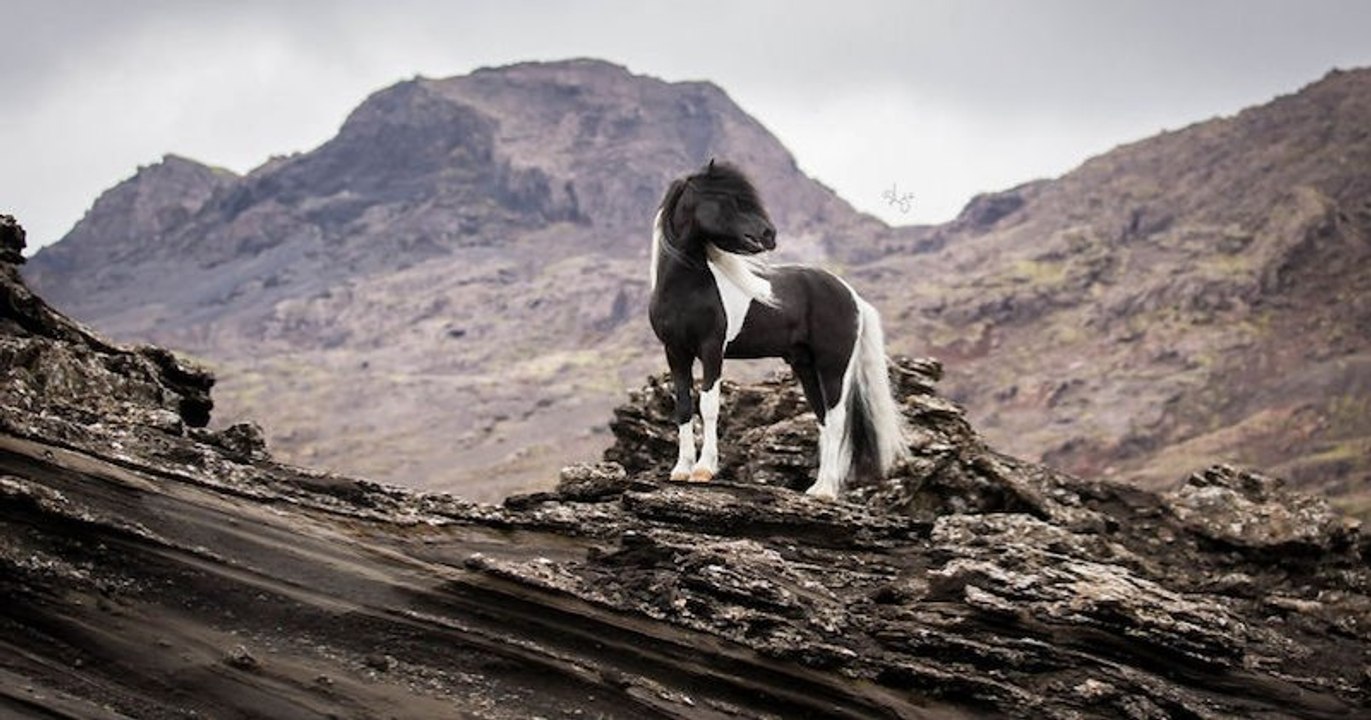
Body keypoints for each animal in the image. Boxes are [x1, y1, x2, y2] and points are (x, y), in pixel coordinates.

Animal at [648, 160, 909, 498]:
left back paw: (826, 490)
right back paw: (818, 487)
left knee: (837, 419)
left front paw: (704, 471)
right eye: (730, 199)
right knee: (823, 420)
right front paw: (681, 470)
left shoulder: (711, 349)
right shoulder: (676, 351)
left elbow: (708, 405)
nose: (769, 234)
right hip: (805, 365)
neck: (684, 289)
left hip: (833, 366)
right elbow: (683, 405)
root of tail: (852, 295)